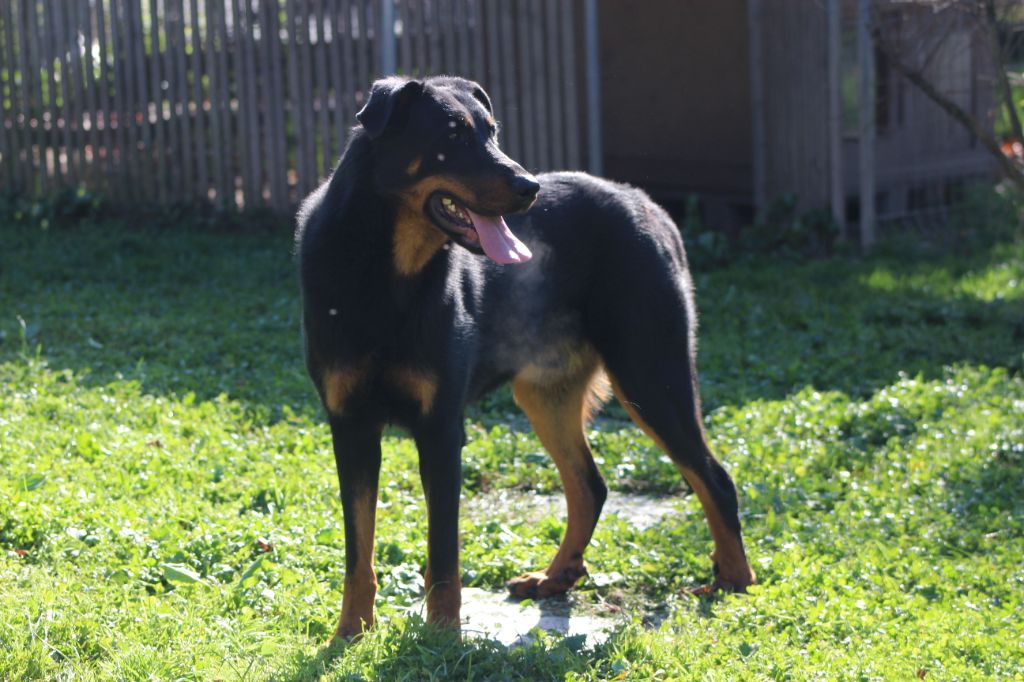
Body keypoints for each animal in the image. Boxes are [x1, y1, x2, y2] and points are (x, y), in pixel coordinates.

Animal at [294, 76, 753, 638]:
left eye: (492, 132)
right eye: (453, 135)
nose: (529, 187)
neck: (387, 273)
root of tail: (648, 204)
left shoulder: (441, 429)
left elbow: (443, 554)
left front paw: (442, 636)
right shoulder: (350, 426)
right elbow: (358, 549)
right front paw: (350, 632)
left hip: (650, 375)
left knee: (714, 478)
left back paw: (733, 580)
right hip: (548, 394)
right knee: (590, 485)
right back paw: (556, 578)